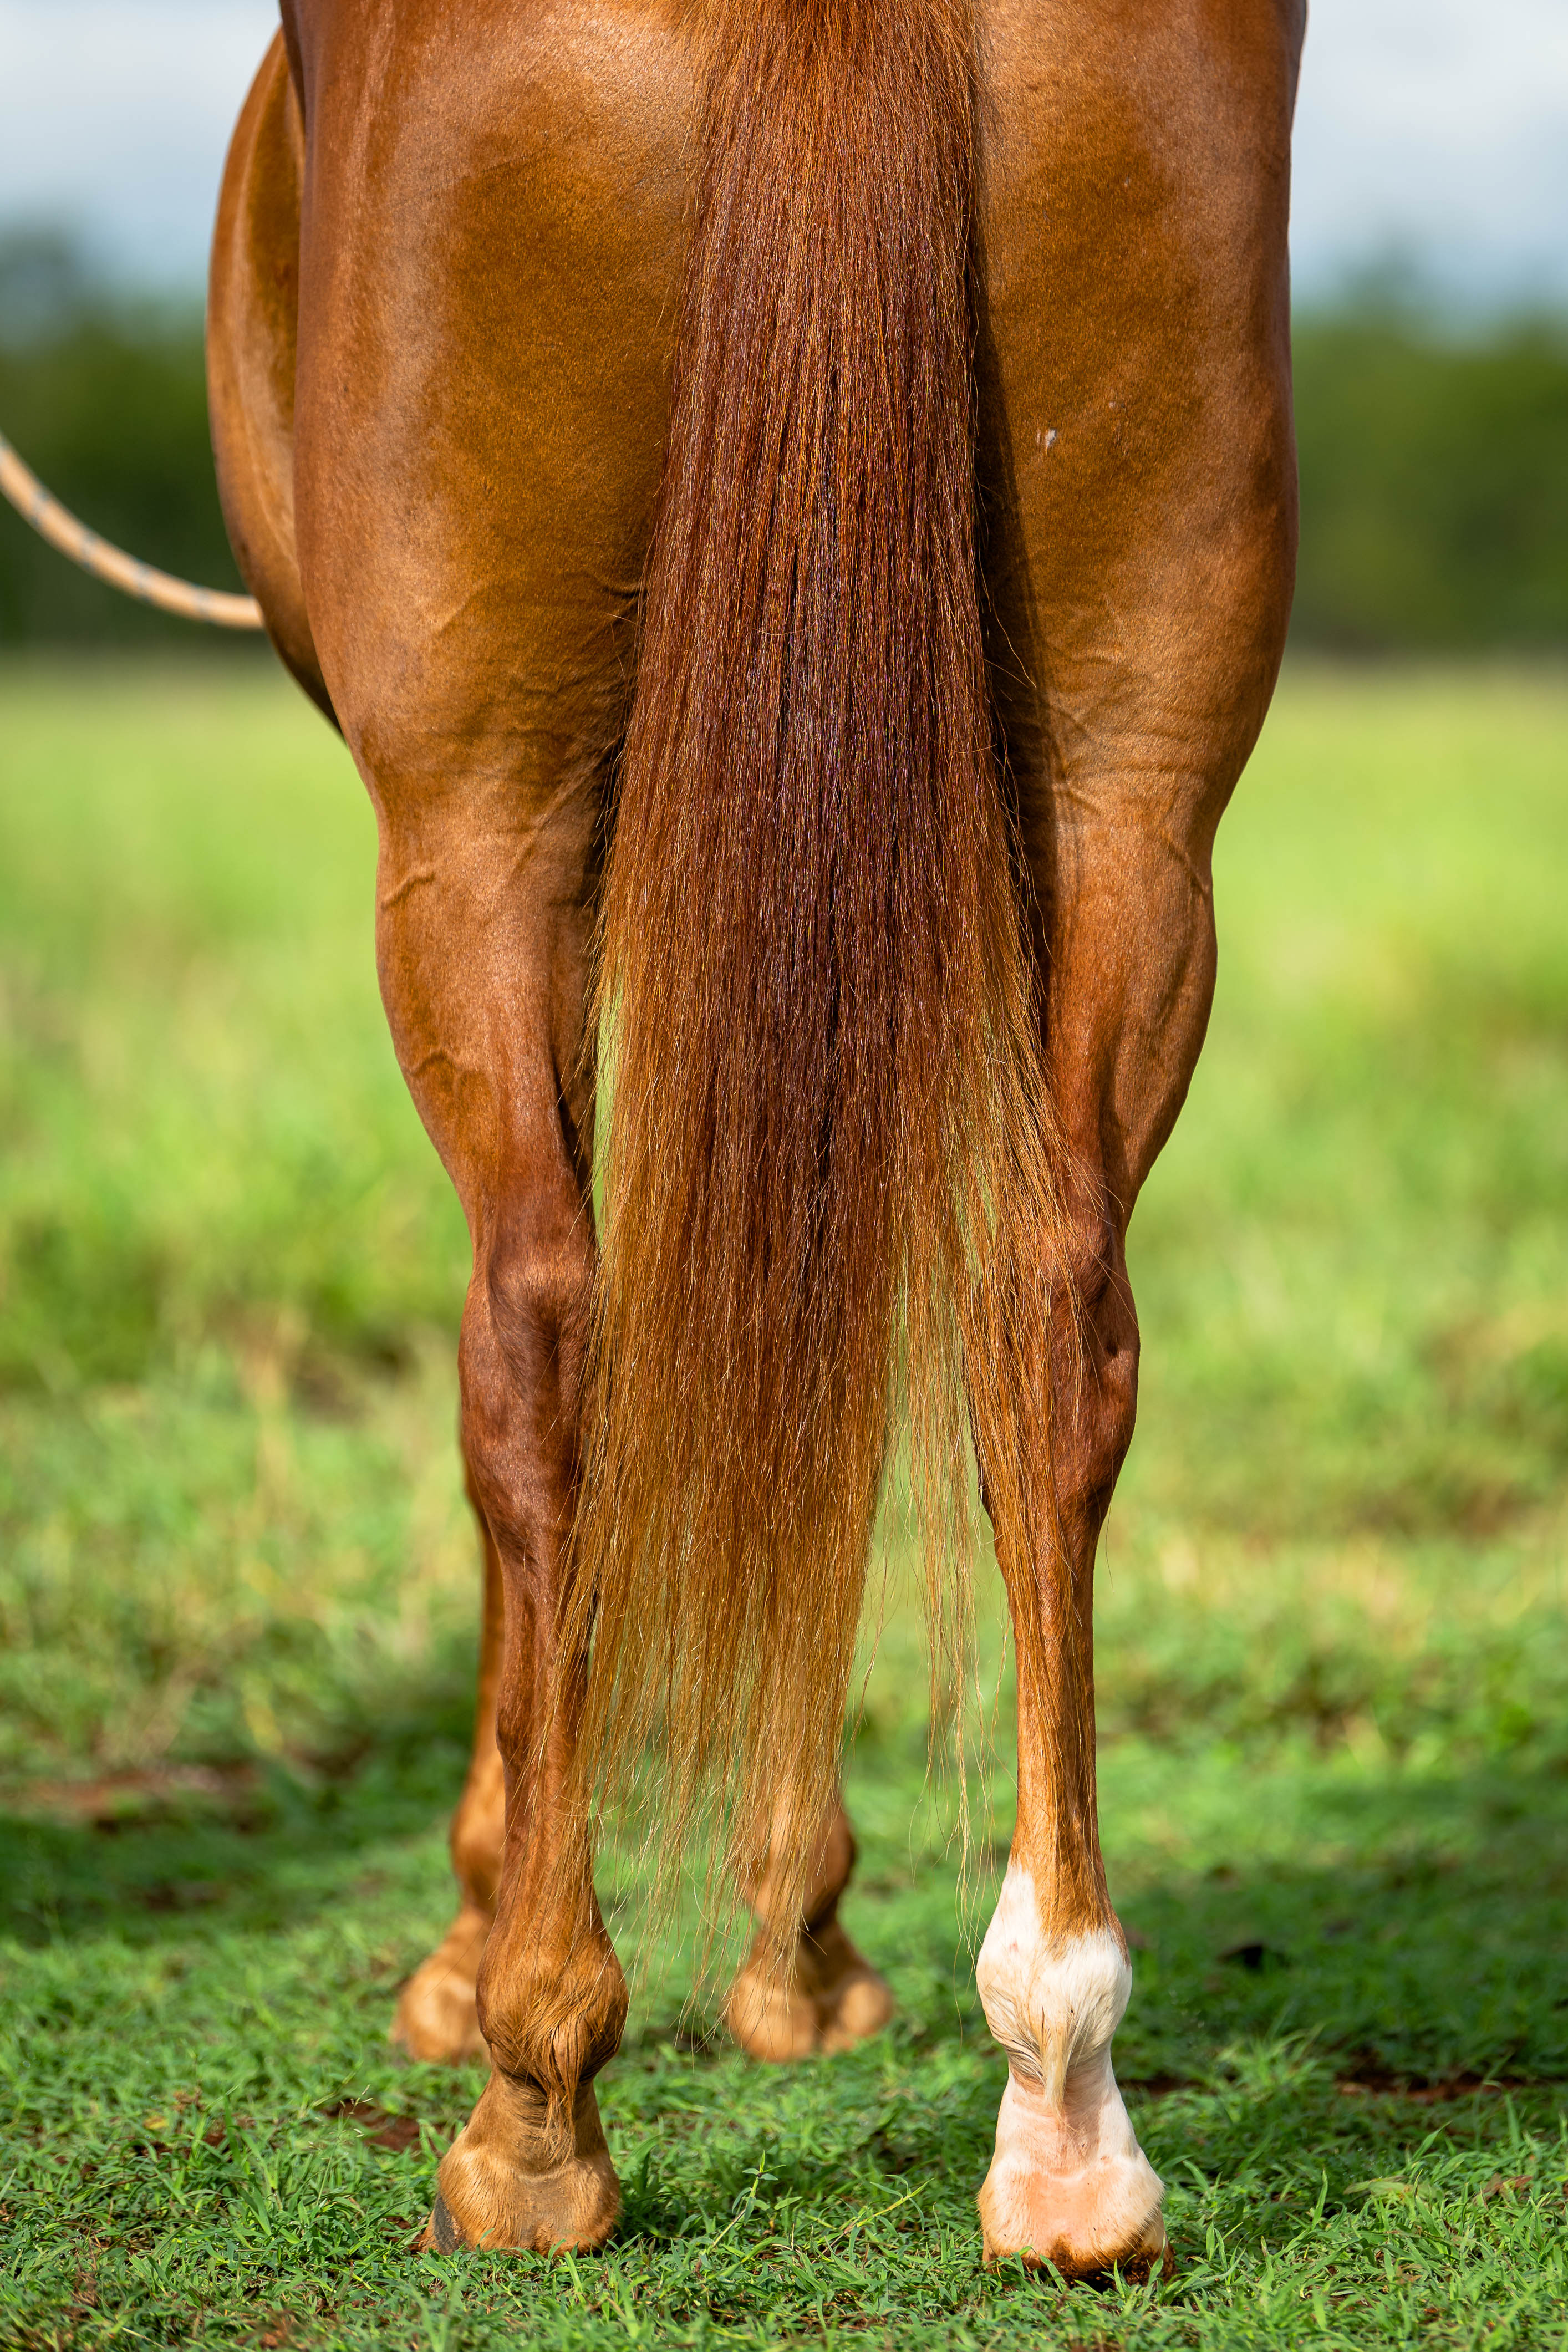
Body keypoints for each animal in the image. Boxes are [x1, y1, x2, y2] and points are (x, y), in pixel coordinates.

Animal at [207, 0, 1302, 2278]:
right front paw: (802, 1938)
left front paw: (487, 1934)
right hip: (1133, 796)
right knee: (1044, 1320)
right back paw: (1064, 2103)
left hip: (474, 827)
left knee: (540, 1340)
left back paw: (536, 2096)